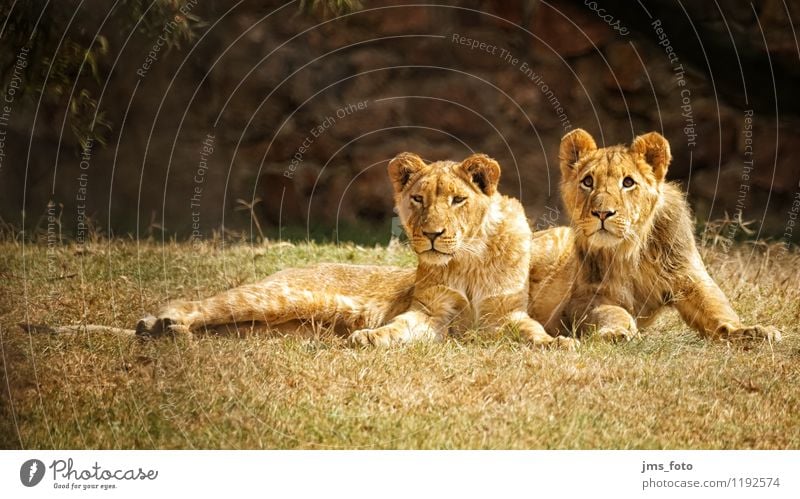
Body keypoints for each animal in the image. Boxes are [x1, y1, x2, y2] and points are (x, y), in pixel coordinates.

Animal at [138, 150, 576, 350]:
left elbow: (532, 329)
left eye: (457, 200)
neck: (467, 258)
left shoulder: (505, 316)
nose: (433, 234)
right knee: (199, 303)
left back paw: (168, 331)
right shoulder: (431, 315)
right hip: (275, 297)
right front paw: (370, 337)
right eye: (418, 198)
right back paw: (159, 323)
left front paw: (557, 343)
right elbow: (398, 327)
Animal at [528, 128, 784, 344]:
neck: (629, 250)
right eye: (588, 182)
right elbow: (614, 312)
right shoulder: (580, 301)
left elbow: (717, 308)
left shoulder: (688, 276)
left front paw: (749, 331)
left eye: (628, 182)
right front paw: (617, 332)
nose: (602, 213)